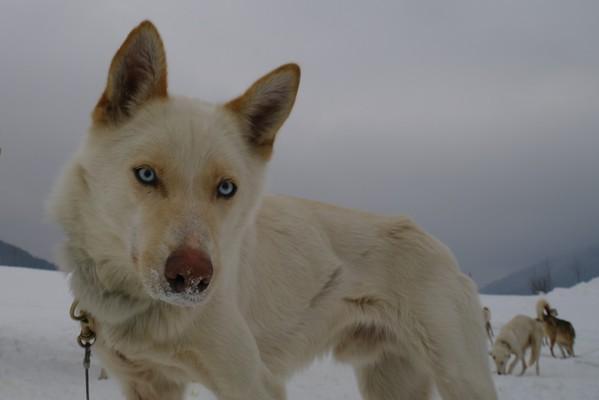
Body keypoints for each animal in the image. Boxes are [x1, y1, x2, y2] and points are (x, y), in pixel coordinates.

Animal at [48, 21, 496, 400]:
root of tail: (434, 241)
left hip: (460, 376)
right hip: (391, 381)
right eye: (146, 175)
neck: (140, 306)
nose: (192, 277)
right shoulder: (148, 384)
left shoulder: (252, 382)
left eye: (226, 188)